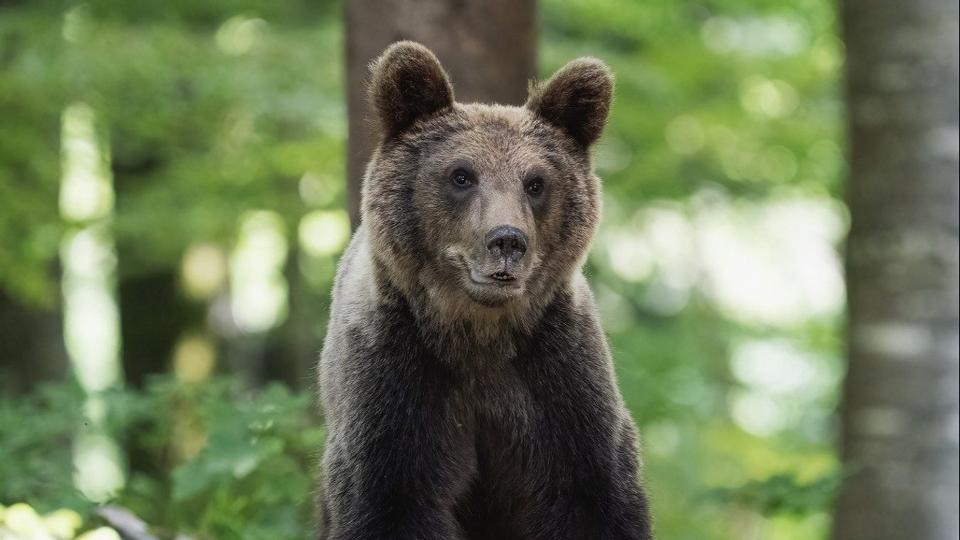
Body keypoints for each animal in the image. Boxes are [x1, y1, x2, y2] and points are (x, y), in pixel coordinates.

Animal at [316, 40, 652, 536]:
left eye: (536, 182)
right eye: (461, 175)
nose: (507, 240)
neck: (478, 334)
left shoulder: (560, 382)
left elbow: (595, 497)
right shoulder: (394, 383)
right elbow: (390, 501)